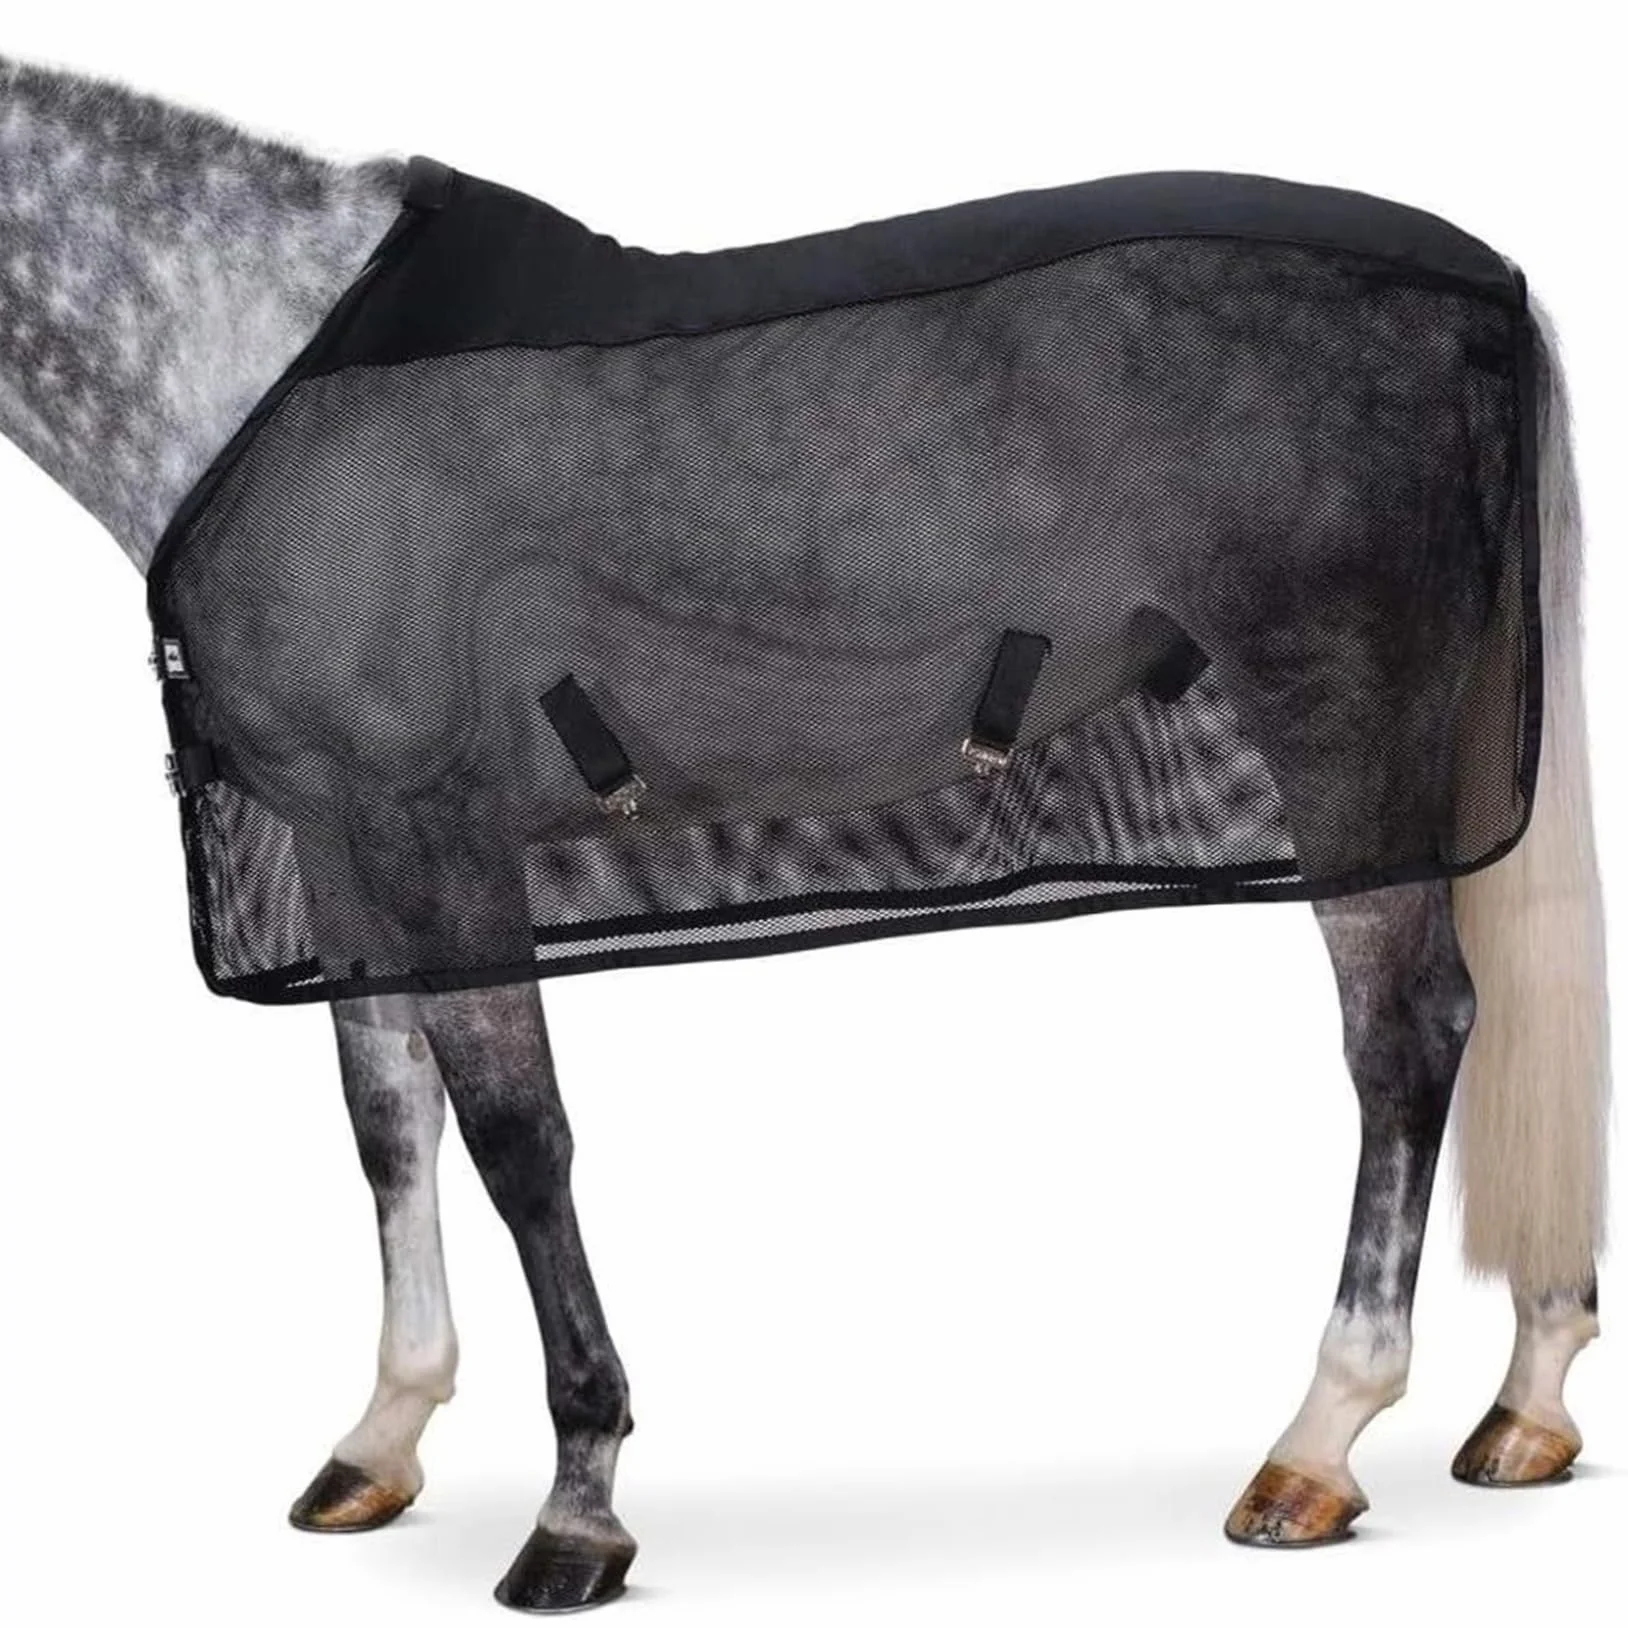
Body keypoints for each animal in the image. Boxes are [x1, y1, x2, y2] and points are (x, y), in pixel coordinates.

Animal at [0, 54, 1607, 1614]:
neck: (245, 353)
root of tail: (1487, 286)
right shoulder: (343, 847)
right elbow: (390, 1124)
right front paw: (382, 1437)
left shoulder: (437, 831)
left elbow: (519, 1140)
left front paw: (578, 1505)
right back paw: (1525, 1401)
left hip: (1341, 729)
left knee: (1407, 1035)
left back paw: (1319, 1441)